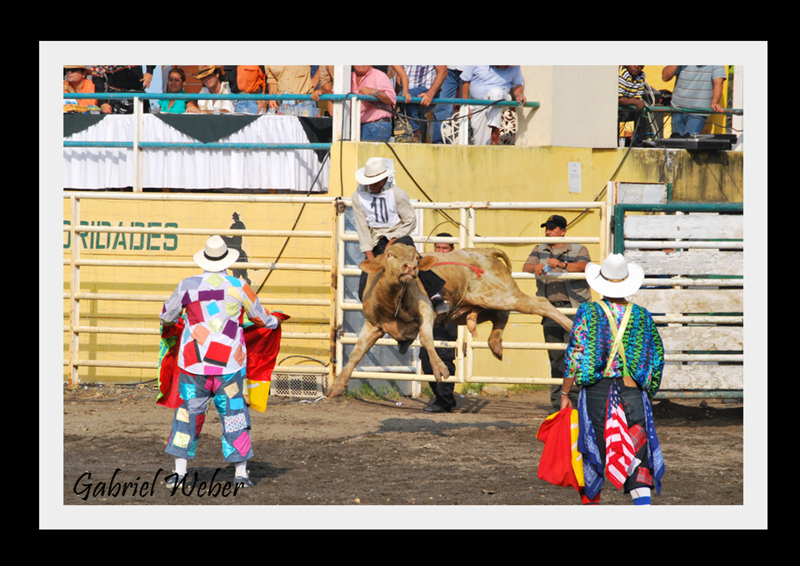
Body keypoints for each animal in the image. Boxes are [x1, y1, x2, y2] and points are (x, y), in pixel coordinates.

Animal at [324, 244, 576, 400]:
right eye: (390, 255)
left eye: (415, 257)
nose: (410, 268)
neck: (392, 298)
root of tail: (483, 251)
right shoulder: (373, 325)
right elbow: (356, 353)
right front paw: (336, 386)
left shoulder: (426, 312)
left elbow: (427, 339)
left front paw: (440, 369)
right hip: (474, 308)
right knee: (501, 316)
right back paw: (495, 344)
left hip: (501, 295)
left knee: (540, 303)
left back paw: (571, 327)